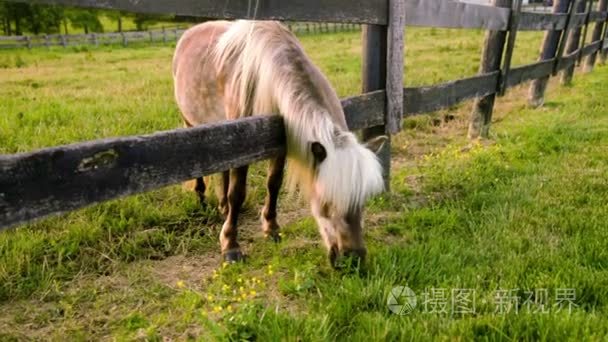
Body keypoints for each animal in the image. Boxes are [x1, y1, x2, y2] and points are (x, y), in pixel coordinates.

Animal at [173, 20, 388, 268]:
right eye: (327, 201)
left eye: (363, 199)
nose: (353, 260)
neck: (262, 75)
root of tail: (190, 32)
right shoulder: (244, 147)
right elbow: (238, 193)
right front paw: (230, 246)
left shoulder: (280, 146)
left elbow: (273, 183)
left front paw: (271, 228)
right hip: (191, 122)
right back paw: (202, 199)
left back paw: (223, 206)